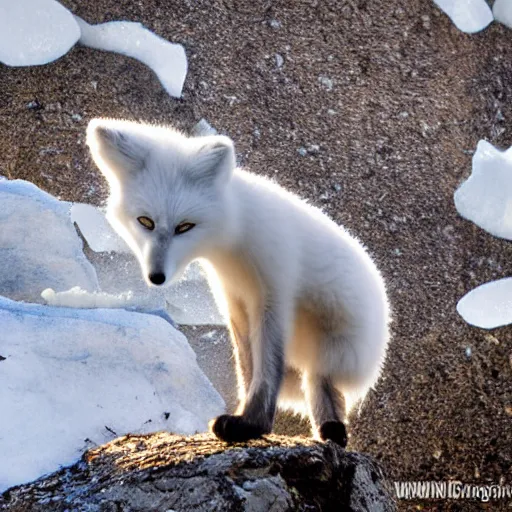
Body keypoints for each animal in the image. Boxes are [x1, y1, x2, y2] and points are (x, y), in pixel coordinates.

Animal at [86, 118, 390, 446]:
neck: (233, 243)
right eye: (145, 222)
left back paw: (332, 432)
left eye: (184, 227)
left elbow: (267, 370)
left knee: (322, 383)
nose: (157, 277)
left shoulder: (273, 297)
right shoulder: (236, 302)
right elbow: (247, 368)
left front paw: (251, 424)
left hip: (331, 349)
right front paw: (246, 417)